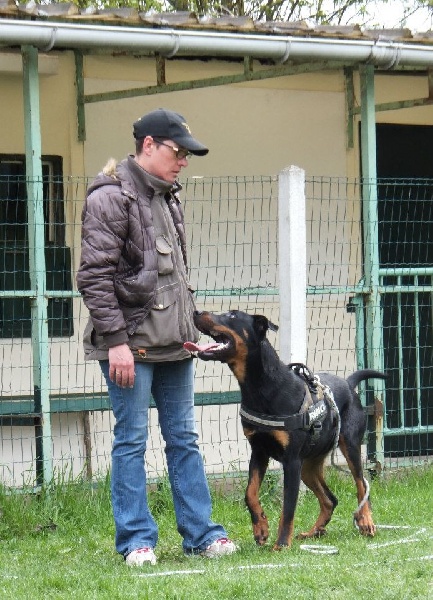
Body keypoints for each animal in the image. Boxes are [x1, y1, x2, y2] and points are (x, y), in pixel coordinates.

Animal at [184, 312, 386, 552]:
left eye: (231, 315)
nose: (196, 312)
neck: (261, 386)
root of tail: (348, 383)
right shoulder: (259, 451)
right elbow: (250, 493)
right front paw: (261, 528)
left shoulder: (291, 461)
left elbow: (288, 507)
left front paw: (281, 544)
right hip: (309, 465)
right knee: (330, 499)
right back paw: (313, 532)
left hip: (349, 446)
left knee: (361, 484)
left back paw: (366, 521)